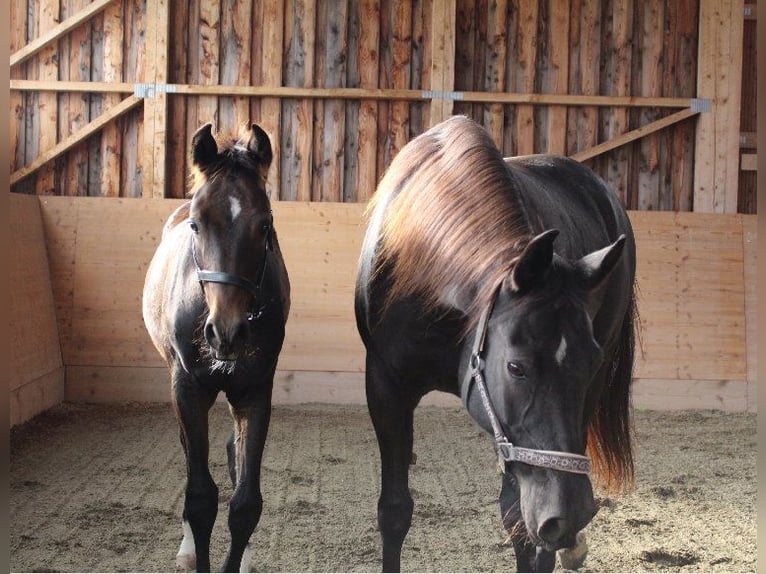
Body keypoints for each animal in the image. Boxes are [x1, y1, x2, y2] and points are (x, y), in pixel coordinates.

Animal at [142, 124, 292, 572]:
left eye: (265, 224)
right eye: (196, 224)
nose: (226, 333)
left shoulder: (254, 391)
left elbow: (245, 502)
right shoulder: (189, 390)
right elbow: (200, 498)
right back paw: (187, 547)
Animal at [356, 115, 640, 572]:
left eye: (592, 364)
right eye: (516, 367)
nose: (571, 514)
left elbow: (521, 524)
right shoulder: (386, 389)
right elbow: (395, 511)